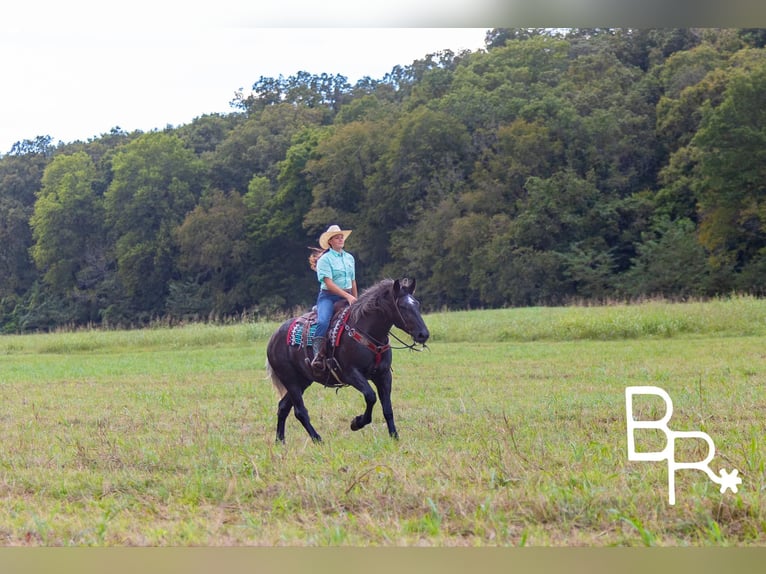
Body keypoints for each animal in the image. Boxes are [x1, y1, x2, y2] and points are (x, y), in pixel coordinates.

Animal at [268, 280, 428, 446]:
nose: (423, 334)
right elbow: (371, 397)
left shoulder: (383, 375)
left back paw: (280, 441)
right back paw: (318, 439)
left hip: (303, 380)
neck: (367, 332)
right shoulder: (351, 374)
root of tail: (273, 338)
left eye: (416, 304)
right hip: (290, 380)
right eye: (402, 306)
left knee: (283, 407)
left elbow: (387, 408)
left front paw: (394, 436)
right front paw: (356, 423)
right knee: (300, 411)